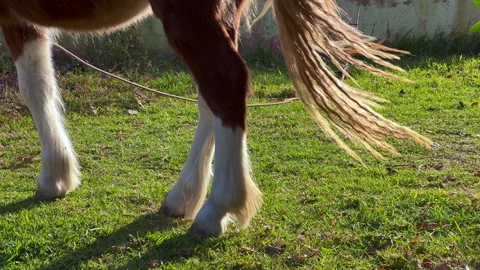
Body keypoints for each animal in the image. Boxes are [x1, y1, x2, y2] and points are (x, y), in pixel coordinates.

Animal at [0, 0, 432, 236]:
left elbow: (31, 87)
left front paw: (54, 176)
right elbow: (40, 84)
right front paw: (59, 173)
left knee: (224, 81)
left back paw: (217, 209)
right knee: (211, 94)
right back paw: (185, 197)